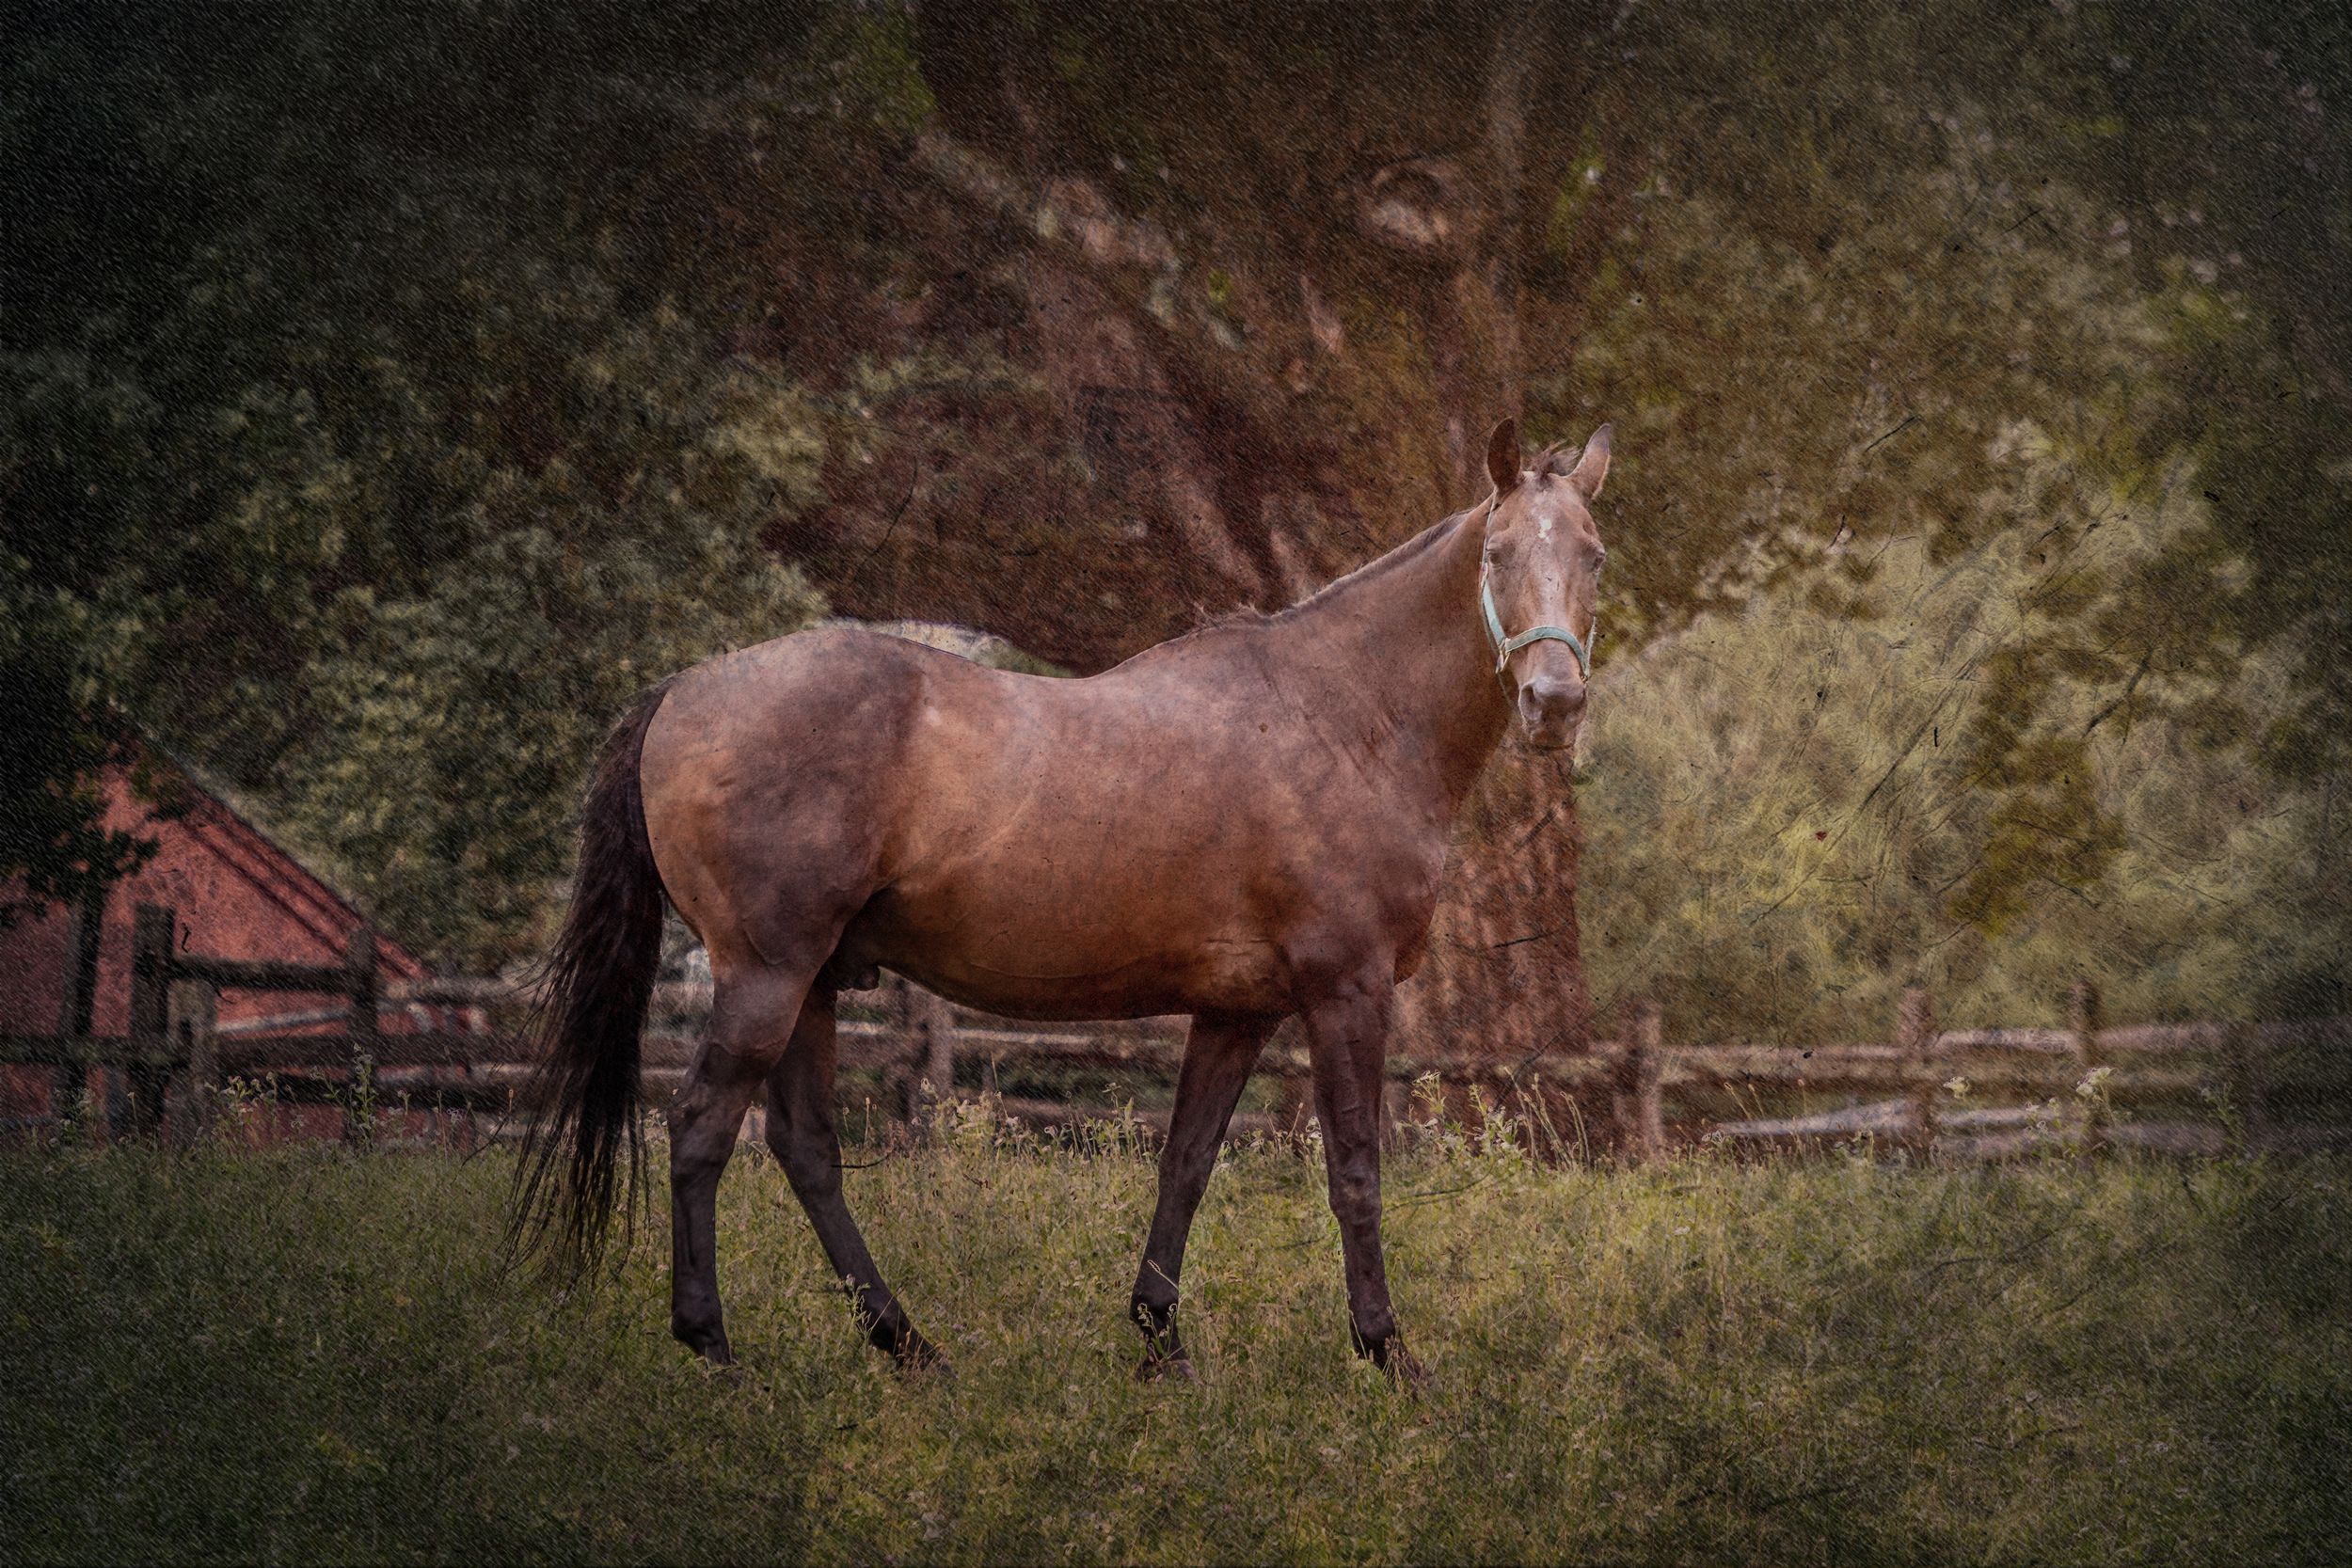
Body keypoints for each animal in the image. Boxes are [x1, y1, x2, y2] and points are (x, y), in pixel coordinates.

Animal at [512, 416, 1612, 1383]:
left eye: (1594, 555)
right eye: (1499, 551)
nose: (1553, 702)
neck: (1344, 715)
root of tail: (683, 689)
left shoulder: (1238, 1010)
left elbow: (1185, 1163)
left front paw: (1161, 1344)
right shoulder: (1347, 989)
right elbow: (1355, 1173)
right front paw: (1389, 1354)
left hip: (811, 982)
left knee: (805, 1149)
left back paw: (908, 1345)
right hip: (766, 976)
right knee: (701, 1131)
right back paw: (716, 1350)